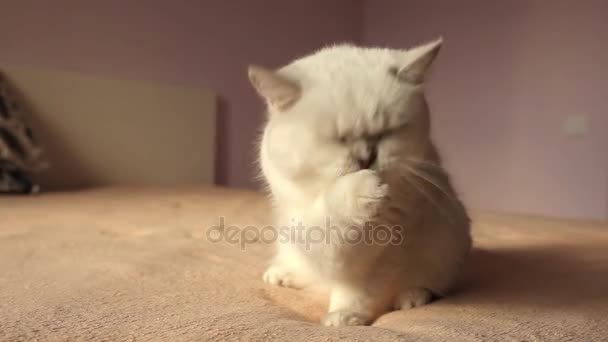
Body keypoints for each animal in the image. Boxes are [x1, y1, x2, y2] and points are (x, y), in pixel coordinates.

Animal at [249, 37, 472, 326]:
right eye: (338, 139)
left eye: (387, 132)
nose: (366, 158)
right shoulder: (308, 223)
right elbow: (329, 217)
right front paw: (364, 189)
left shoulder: (385, 253)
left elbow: (360, 291)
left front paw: (345, 317)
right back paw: (282, 274)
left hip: (446, 248)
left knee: (433, 285)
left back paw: (410, 298)